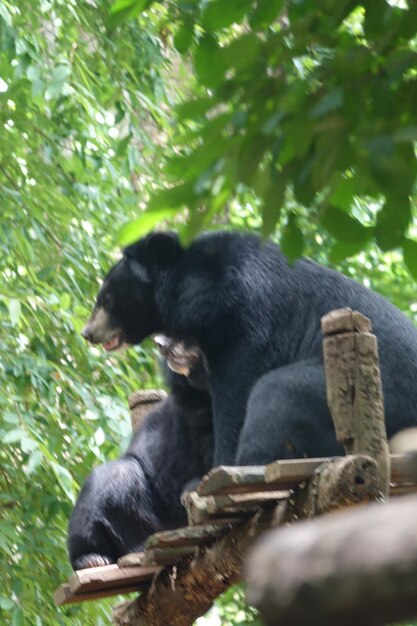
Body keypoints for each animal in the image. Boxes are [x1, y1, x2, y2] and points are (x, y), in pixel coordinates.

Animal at [82, 228, 417, 464]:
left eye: (106, 299)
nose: (88, 333)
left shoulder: (243, 325)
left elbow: (236, 397)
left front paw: (221, 466)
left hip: (373, 390)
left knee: (278, 393)